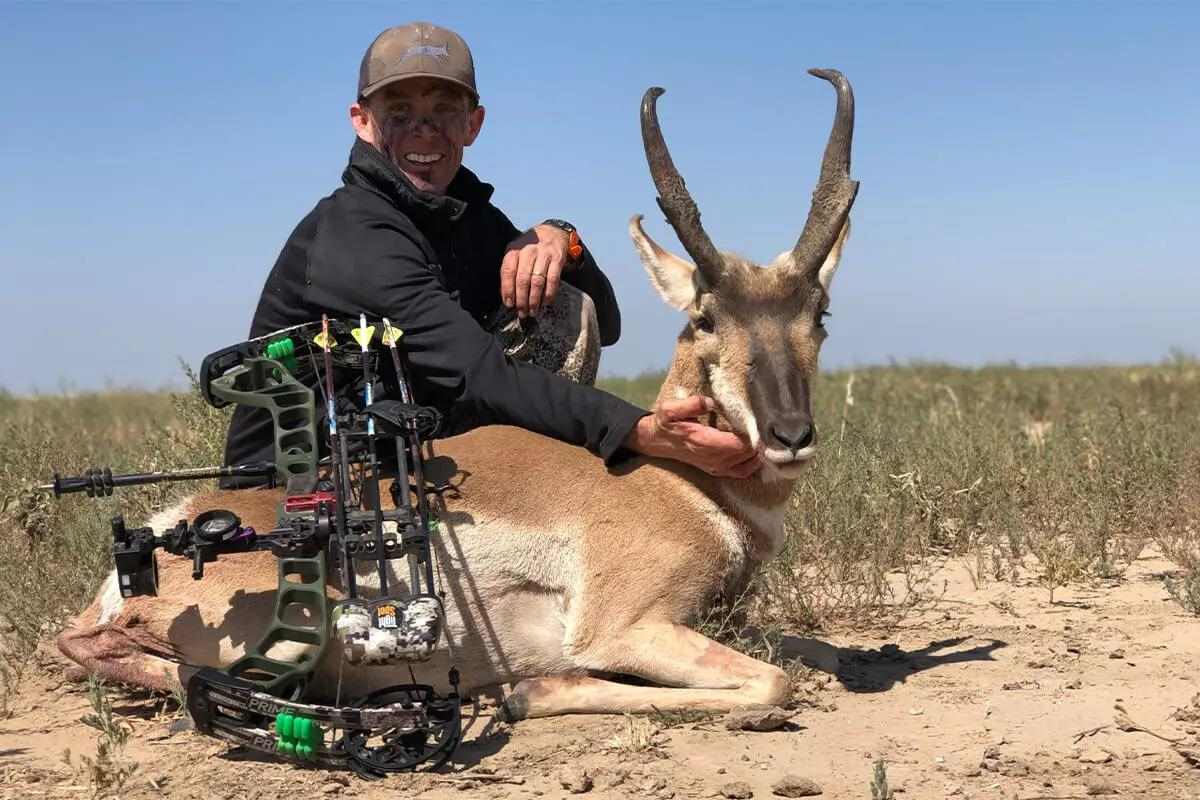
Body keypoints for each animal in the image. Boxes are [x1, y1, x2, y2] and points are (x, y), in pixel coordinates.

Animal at [57, 68, 858, 720]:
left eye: (819, 311)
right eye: (706, 316)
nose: (790, 434)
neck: (678, 481)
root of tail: (175, 521)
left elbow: (810, 651)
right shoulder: (628, 627)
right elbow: (773, 682)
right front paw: (529, 690)